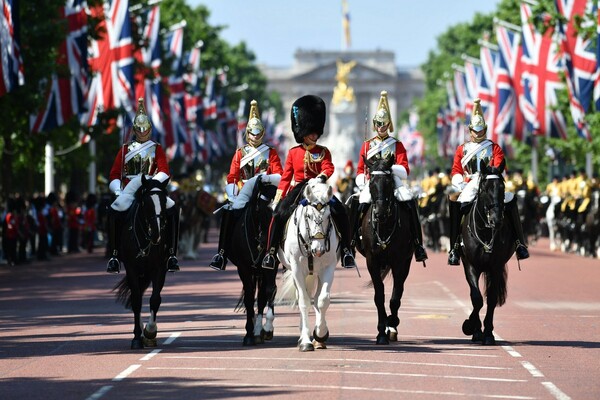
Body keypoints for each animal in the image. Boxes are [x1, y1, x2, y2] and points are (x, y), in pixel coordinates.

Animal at [115, 177, 171, 348]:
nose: (157, 234)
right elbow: (136, 300)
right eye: (146, 202)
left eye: (164, 200)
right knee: (137, 295)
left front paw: (150, 331)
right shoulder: (131, 268)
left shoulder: (159, 268)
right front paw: (136, 337)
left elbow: (155, 299)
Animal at [227, 177, 278, 346]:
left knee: (263, 295)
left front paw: (266, 329)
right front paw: (249, 333)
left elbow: (268, 292)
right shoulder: (243, 269)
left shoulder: (270, 266)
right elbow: (249, 297)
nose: (268, 242)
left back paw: (260, 330)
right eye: (260, 209)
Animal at [276, 180, 340, 352]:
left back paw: (319, 340)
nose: (318, 250)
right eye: (309, 216)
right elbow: (304, 301)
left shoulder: (328, 268)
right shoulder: (297, 269)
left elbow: (322, 300)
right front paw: (305, 340)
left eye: (328, 216)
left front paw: (320, 333)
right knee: (302, 297)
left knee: (316, 298)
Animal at [354, 155, 414, 346]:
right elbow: (379, 295)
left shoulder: (400, 262)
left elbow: (395, 297)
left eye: (388, 181)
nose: (380, 213)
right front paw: (381, 332)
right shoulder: (372, 261)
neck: (384, 226)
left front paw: (391, 323)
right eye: (372, 182)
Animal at [458, 164, 512, 346]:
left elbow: (491, 299)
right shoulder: (470, 265)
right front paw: (471, 327)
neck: (485, 232)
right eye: (484, 188)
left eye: (502, 188)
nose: (496, 220)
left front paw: (487, 332)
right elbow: (477, 298)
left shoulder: (495, 267)